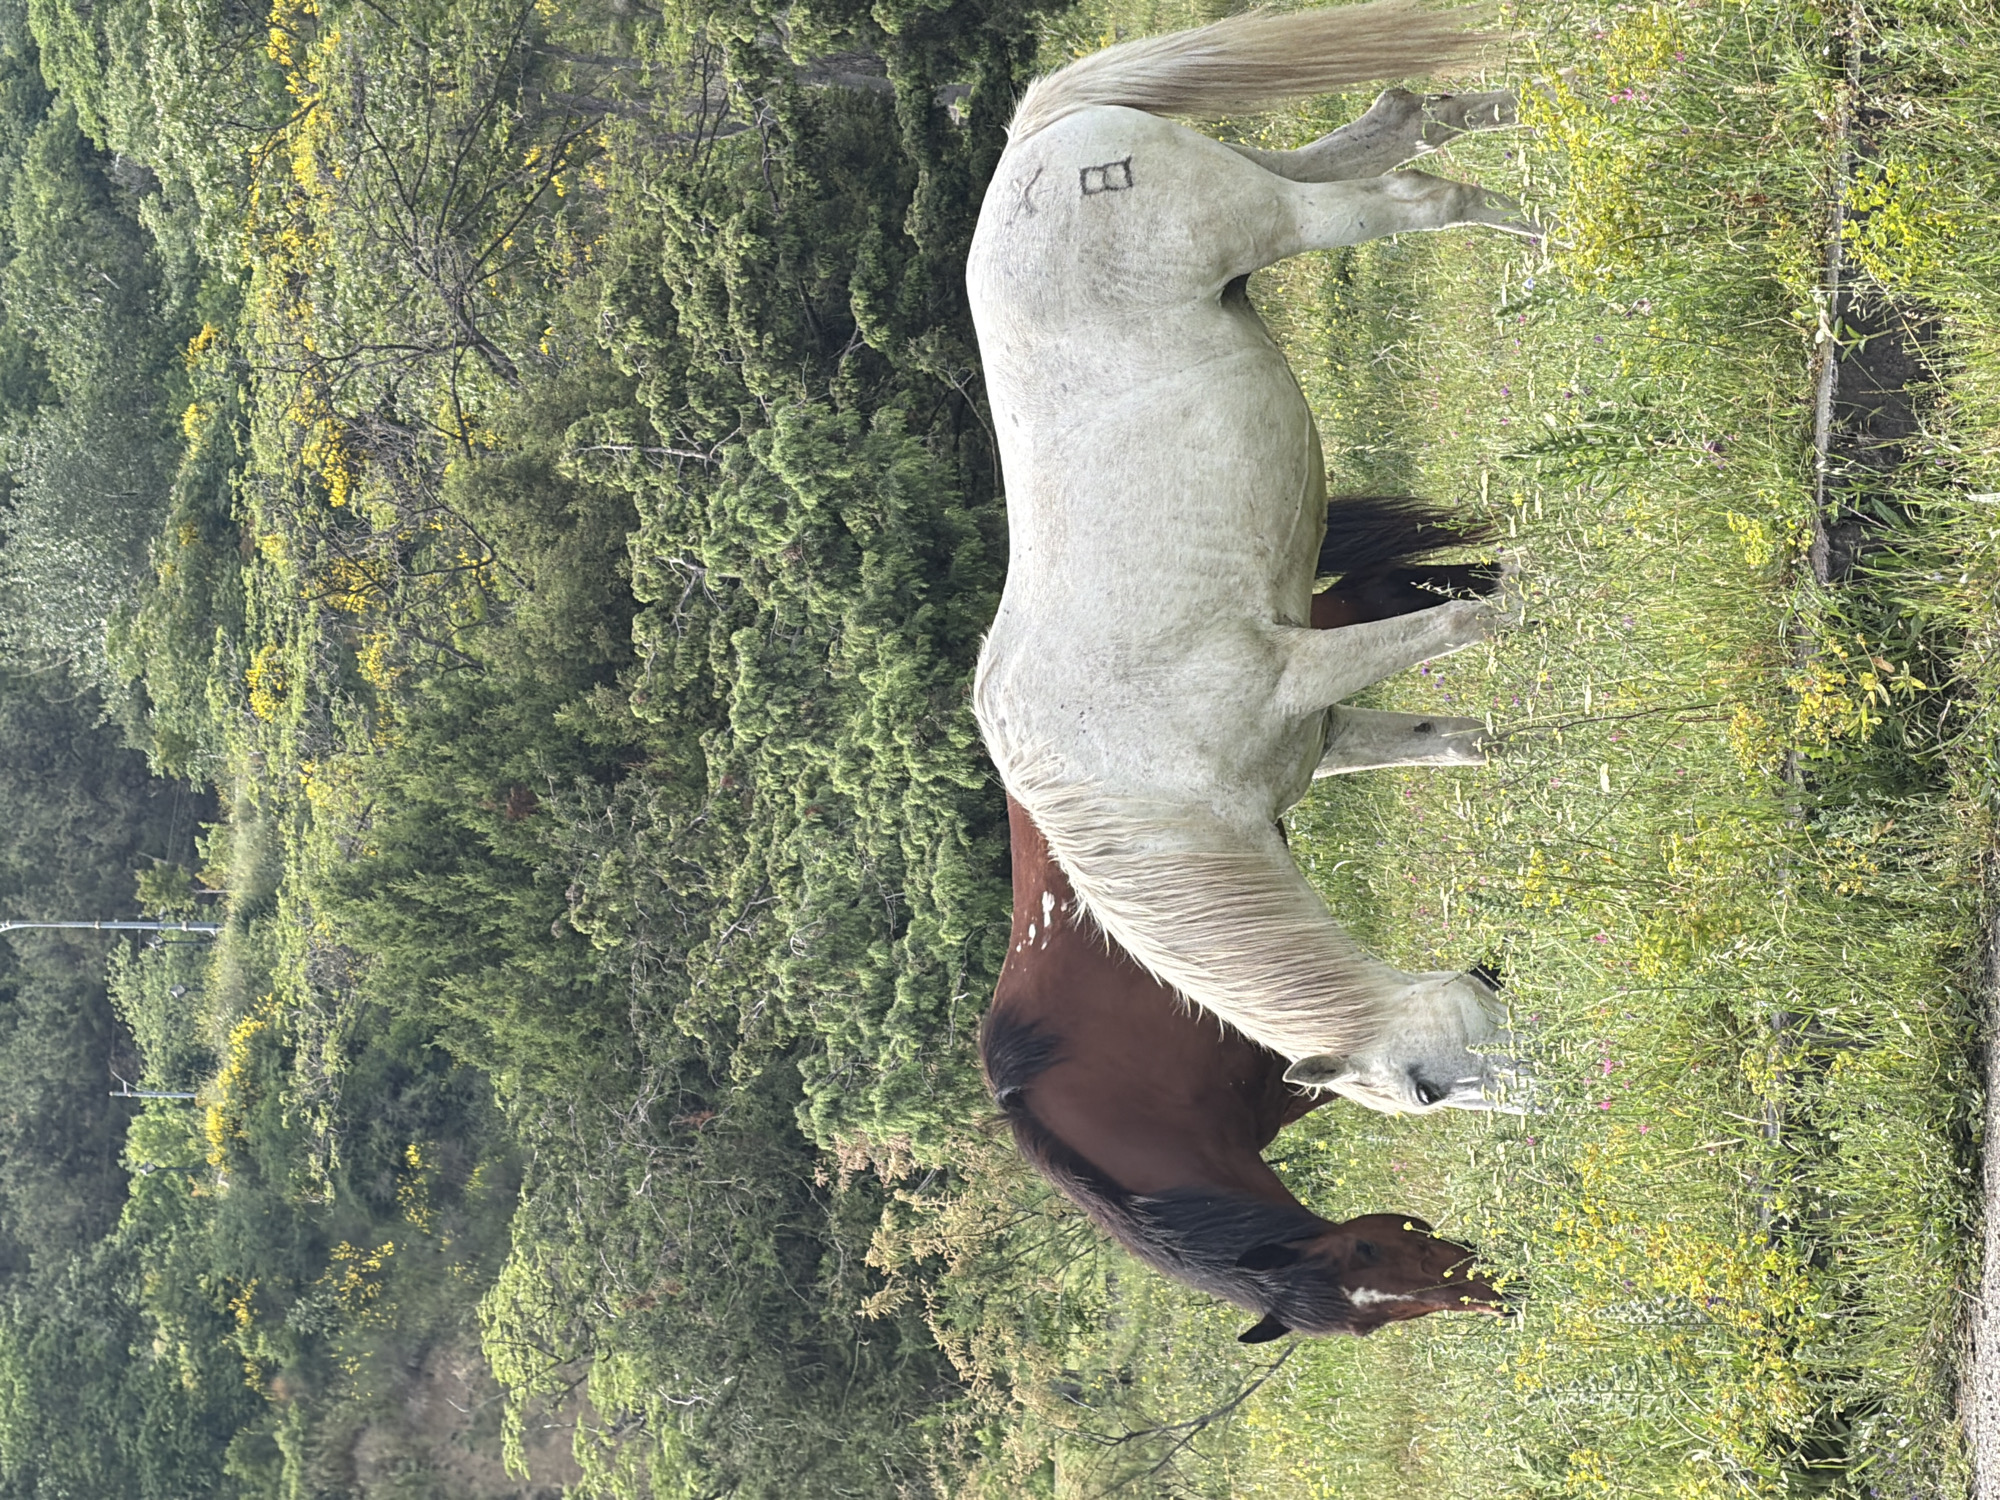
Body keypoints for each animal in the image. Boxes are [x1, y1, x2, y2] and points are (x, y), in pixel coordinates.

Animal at [969, 0, 1535, 1113]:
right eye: (1425, 1091)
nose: (1564, 1086)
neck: (1137, 781)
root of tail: (1032, 138)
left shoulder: (1300, 665)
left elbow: (1465, 620)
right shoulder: (1328, 727)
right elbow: (1463, 738)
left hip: (1277, 216)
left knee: (1418, 194)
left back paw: (1555, 236)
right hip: (1276, 180)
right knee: (1404, 125)